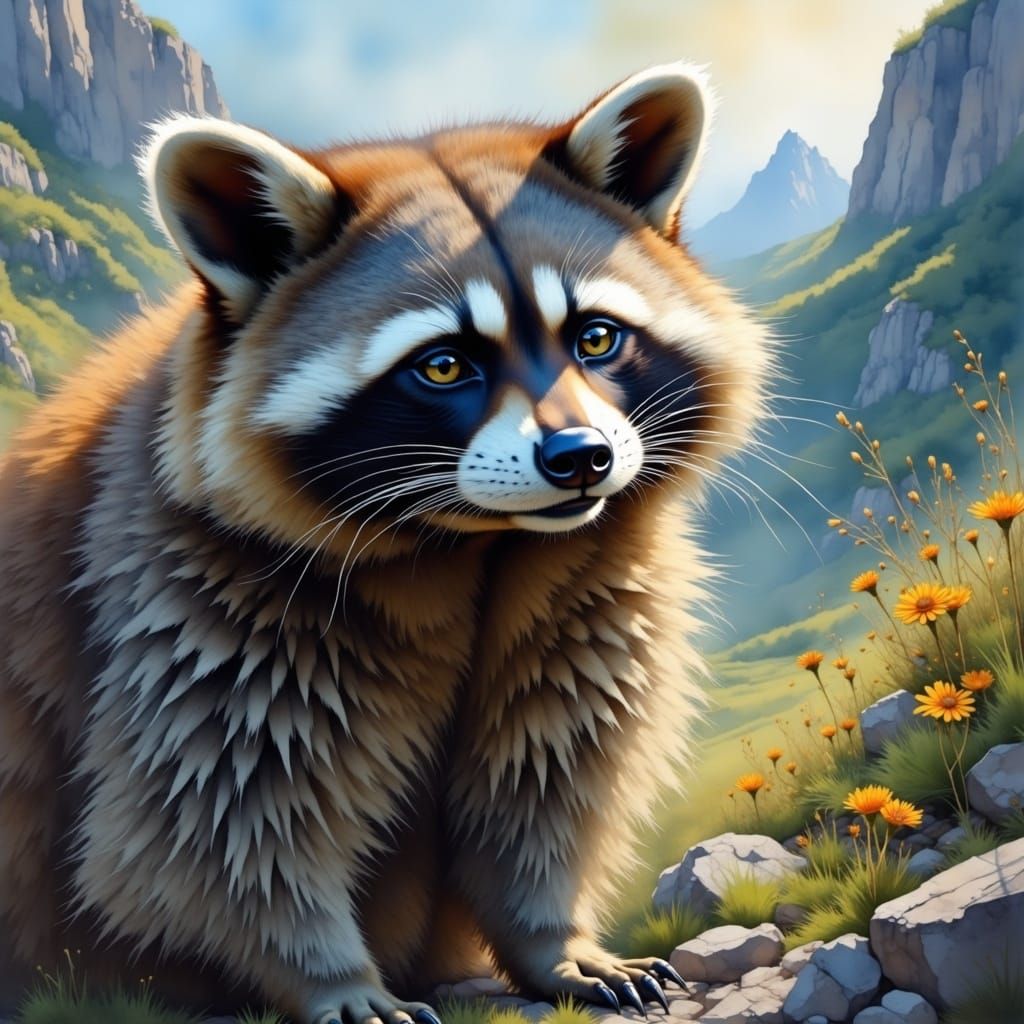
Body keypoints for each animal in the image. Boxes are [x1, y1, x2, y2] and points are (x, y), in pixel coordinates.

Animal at [0, 64, 772, 1024]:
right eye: (443, 365)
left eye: (596, 337)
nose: (582, 459)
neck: (480, 538)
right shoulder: (186, 598)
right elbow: (206, 824)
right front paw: (327, 974)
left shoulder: (588, 585)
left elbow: (547, 770)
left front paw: (551, 936)